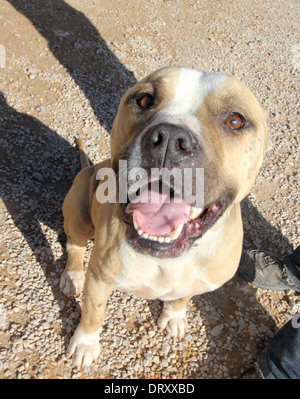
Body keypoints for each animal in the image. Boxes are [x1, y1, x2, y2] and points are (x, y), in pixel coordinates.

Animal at [59, 65, 270, 368]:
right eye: (145, 100)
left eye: (234, 120)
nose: (169, 139)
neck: (168, 259)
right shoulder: (99, 277)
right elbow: (93, 312)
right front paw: (86, 342)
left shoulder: (195, 281)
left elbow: (183, 296)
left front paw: (174, 315)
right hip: (78, 212)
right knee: (73, 245)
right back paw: (72, 275)